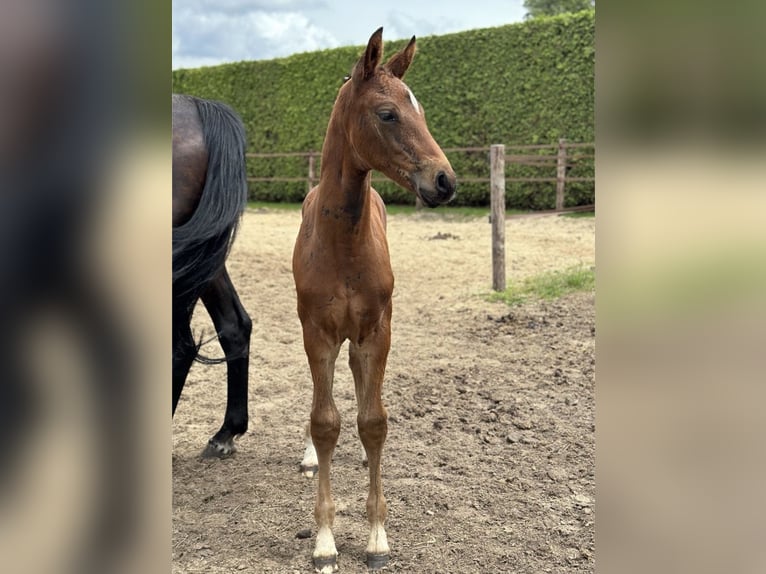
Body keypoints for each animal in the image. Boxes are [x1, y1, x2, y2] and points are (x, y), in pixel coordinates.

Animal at [294, 29, 456, 572]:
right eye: (387, 113)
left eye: (419, 109)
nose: (445, 180)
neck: (342, 243)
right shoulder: (317, 334)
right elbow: (325, 421)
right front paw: (325, 541)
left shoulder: (376, 331)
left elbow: (374, 420)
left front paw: (377, 536)